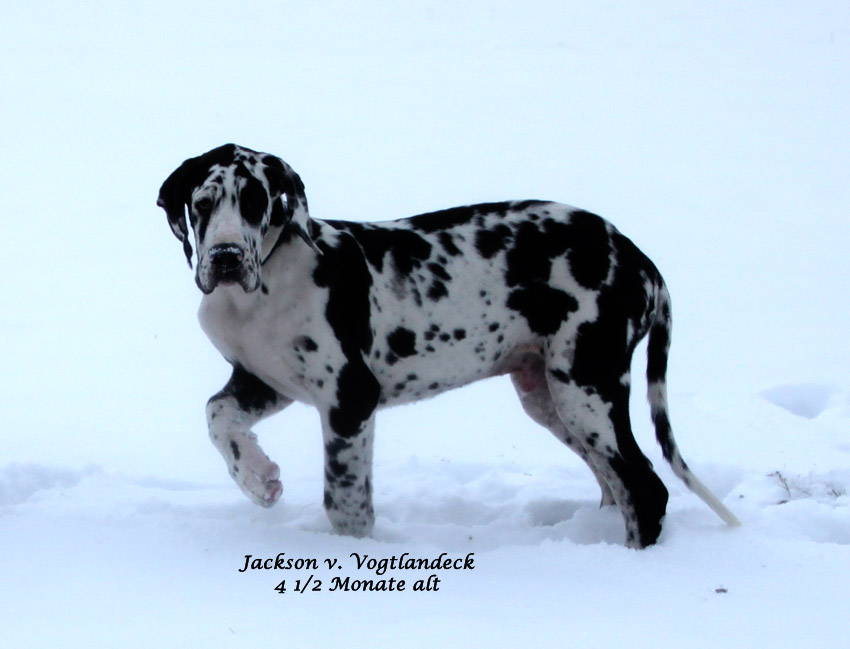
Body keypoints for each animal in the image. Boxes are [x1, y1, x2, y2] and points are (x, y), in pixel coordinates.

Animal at [157, 143, 739, 548]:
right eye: (203, 204)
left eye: (256, 202)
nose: (226, 257)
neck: (263, 290)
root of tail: (640, 260)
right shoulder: (262, 379)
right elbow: (217, 415)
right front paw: (258, 479)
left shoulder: (350, 399)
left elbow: (345, 501)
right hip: (550, 396)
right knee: (614, 483)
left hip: (585, 386)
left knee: (645, 488)